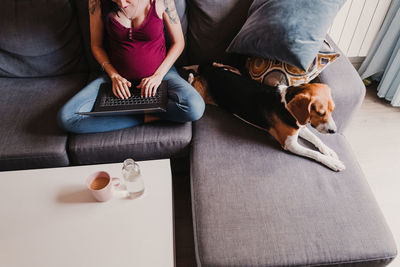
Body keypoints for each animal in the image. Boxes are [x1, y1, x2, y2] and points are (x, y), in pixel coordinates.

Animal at [189, 63, 346, 172]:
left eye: (332, 110)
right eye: (320, 112)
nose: (333, 131)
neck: (286, 104)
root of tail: (207, 69)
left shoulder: (299, 125)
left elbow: (316, 139)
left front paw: (329, 151)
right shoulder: (290, 144)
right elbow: (314, 153)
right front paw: (332, 162)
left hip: (231, 70)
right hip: (200, 96)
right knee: (192, 81)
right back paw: (190, 76)